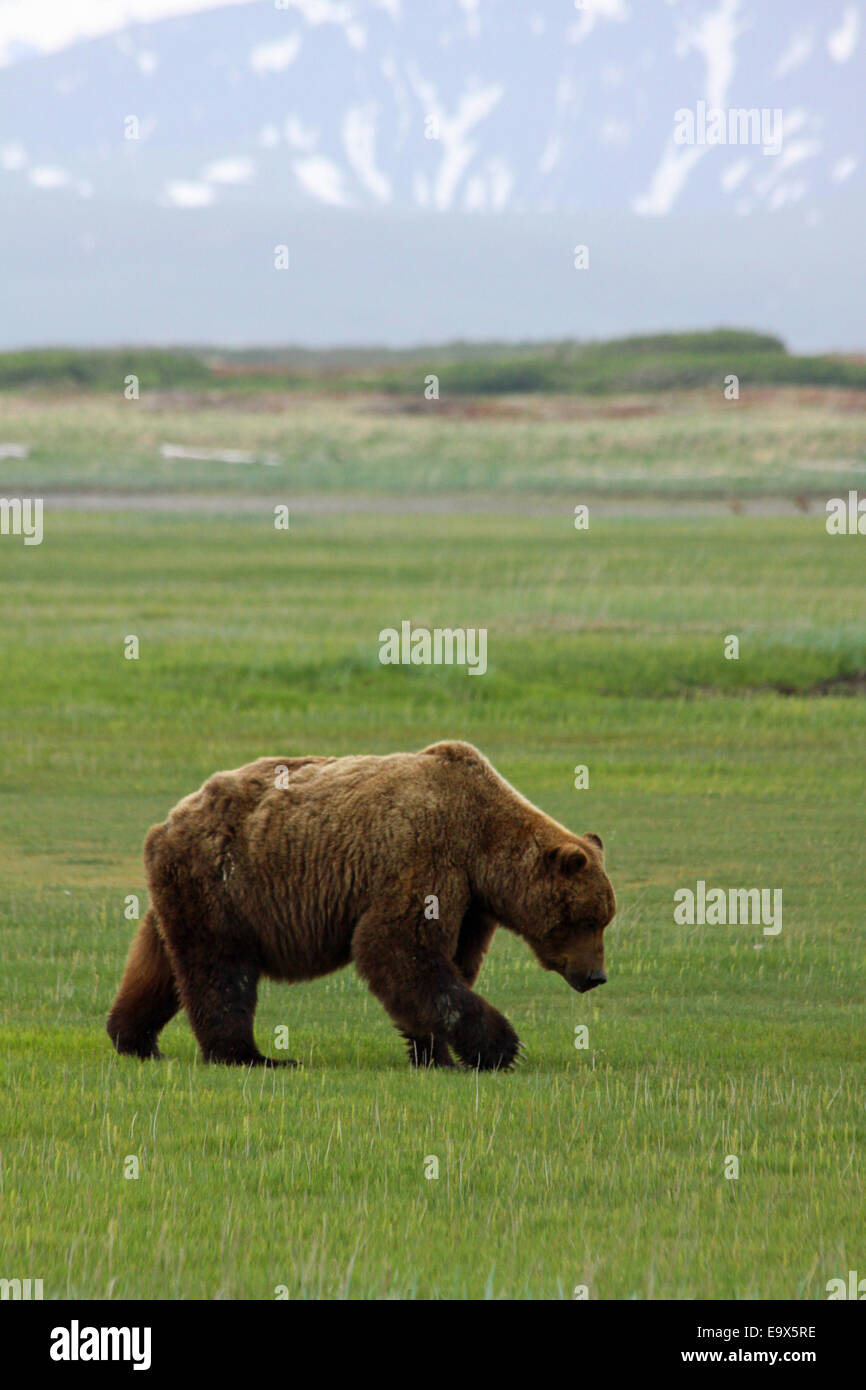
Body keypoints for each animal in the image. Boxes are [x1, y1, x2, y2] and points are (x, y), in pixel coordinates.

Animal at [107, 741, 616, 1071]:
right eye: (588, 919)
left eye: (606, 919)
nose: (596, 976)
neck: (481, 844)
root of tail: (170, 819)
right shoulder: (427, 859)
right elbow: (396, 948)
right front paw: (501, 1047)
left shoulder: (472, 903)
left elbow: (449, 963)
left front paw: (434, 1053)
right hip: (223, 882)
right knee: (220, 968)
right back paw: (252, 1055)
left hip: (182, 891)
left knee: (158, 963)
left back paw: (134, 1038)